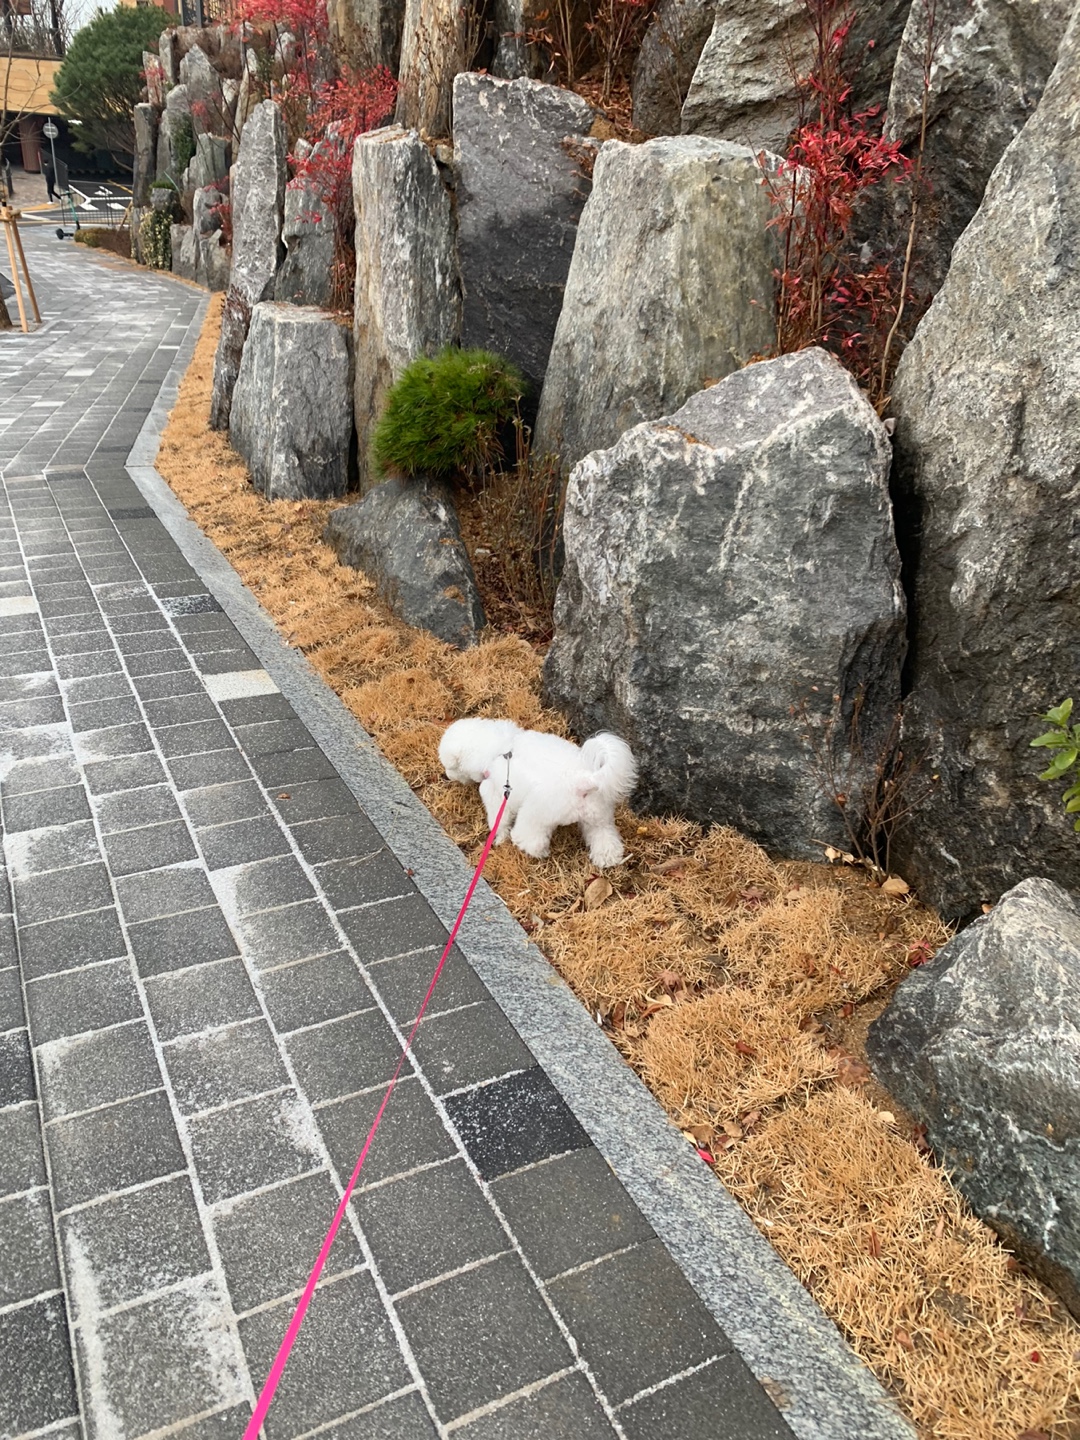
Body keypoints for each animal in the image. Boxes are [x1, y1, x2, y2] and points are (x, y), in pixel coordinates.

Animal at [440, 717, 642, 864]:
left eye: (450, 766)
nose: (446, 775)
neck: (497, 748)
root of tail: (584, 780)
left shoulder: (496, 794)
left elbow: (500, 820)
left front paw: (499, 838)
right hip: (597, 817)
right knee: (605, 838)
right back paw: (608, 859)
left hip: (535, 813)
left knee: (530, 838)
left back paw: (535, 851)